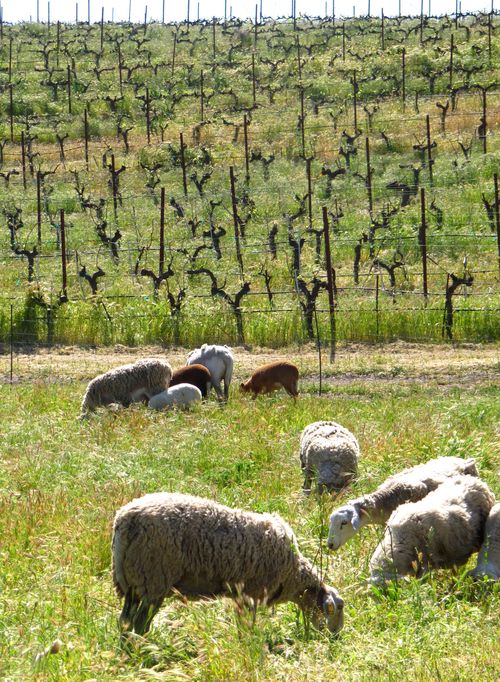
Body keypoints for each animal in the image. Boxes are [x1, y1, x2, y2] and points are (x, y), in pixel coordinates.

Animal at [112, 492, 344, 636]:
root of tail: (125, 521)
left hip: (132, 581)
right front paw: (249, 642)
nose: (336, 636)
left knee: (125, 622)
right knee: (140, 624)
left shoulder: (241, 595)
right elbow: (247, 624)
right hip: (153, 579)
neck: (292, 572)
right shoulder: (251, 592)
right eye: (337, 609)